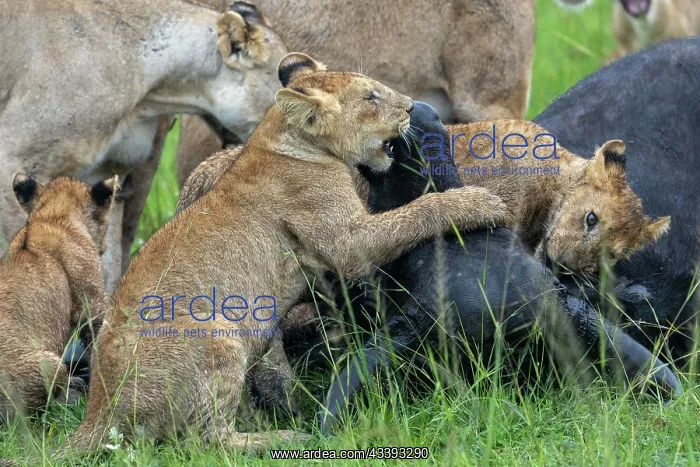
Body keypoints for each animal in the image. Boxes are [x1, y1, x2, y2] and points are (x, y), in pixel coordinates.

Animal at [40, 53, 510, 461]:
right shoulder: (347, 242)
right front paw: (480, 202)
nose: (412, 107)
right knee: (206, 441)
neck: (280, 137)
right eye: (370, 97)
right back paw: (281, 437)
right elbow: (417, 212)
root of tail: (100, 412)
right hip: (218, 334)